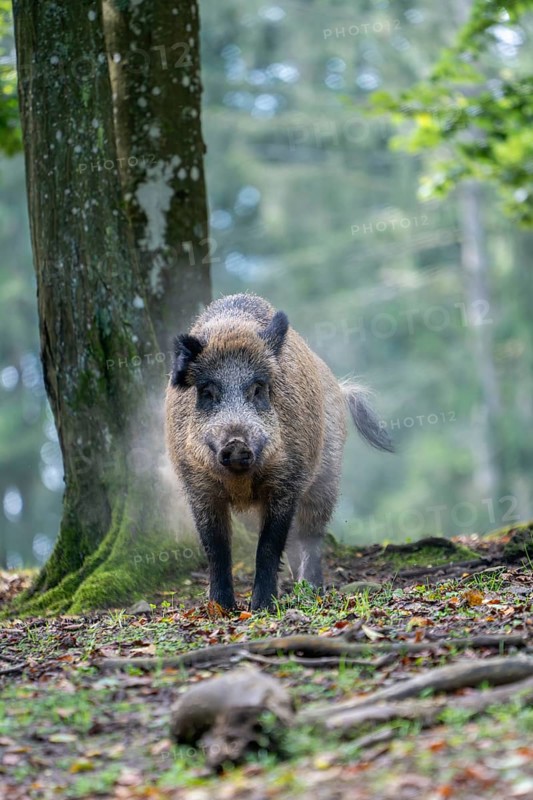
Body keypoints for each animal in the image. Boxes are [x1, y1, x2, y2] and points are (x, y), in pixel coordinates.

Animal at [165, 293, 392, 611]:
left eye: (258, 388)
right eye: (208, 391)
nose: (236, 443)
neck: (240, 482)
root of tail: (338, 386)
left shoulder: (287, 481)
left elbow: (269, 545)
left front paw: (262, 606)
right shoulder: (198, 486)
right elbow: (216, 548)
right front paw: (221, 609)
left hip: (326, 477)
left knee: (311, 534)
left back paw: (311, 589)